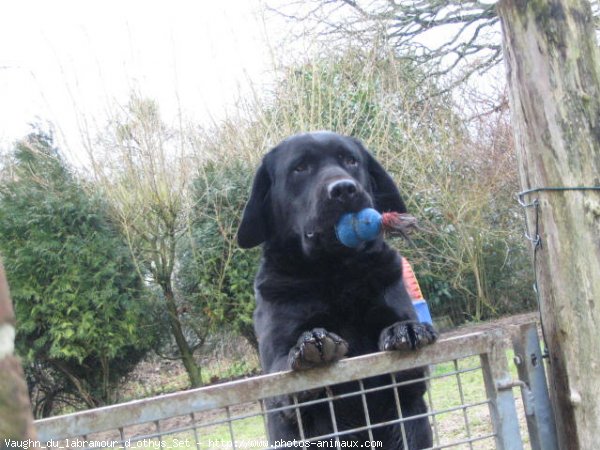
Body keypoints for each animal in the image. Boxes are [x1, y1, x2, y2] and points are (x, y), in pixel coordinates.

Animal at [236, 132, 436, 448]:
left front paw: (406, 330)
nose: (344, 189)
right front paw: (312, 344)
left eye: (351, 160)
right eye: (300, 168)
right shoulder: (275, 369)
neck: (335, 273)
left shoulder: (411, 384)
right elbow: (284, 368)